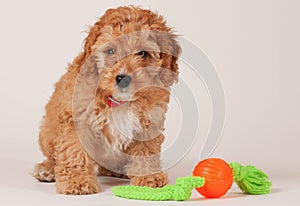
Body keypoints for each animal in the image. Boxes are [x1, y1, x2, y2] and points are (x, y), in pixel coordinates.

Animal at [32, 5, 180, 195]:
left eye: (143, 53)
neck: (118, 100)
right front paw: (77, 182)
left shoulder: (150, 121)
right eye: (110, 51)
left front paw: (148, 176)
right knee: (54, 155)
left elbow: (146, 150)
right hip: (47, 134)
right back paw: (47, 169)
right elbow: (74, 152)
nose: (123, 78)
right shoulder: (77, 121)